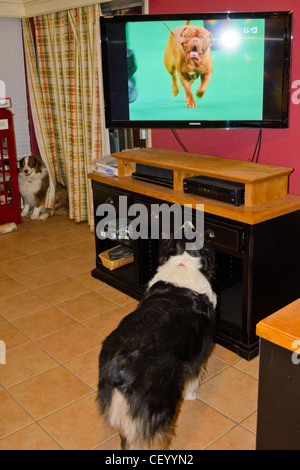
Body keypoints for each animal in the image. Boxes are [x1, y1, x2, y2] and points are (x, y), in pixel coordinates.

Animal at [97, 233, 217, 450]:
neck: (182, 261)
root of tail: (119, 366)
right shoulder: (199, 350)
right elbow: (194, 377)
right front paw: (191, 396)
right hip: (158, 406)